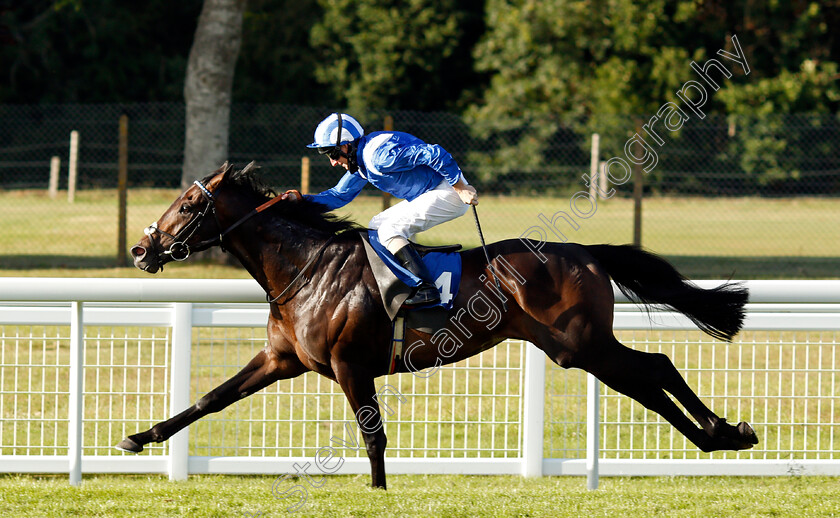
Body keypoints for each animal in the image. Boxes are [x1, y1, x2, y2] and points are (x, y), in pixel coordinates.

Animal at [120, 164, 760, 492]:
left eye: (186, 205)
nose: (140, 249)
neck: (307, 268)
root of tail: (585, 253)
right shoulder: (283, 360)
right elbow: (209, 398)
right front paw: (140, 437)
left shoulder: (350, 365)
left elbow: (372, 436)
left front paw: (378, 492)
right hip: (573, 347)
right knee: (647, 380)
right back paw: (719, 435)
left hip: (580, 343)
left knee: (656, 368)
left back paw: (724, 433)